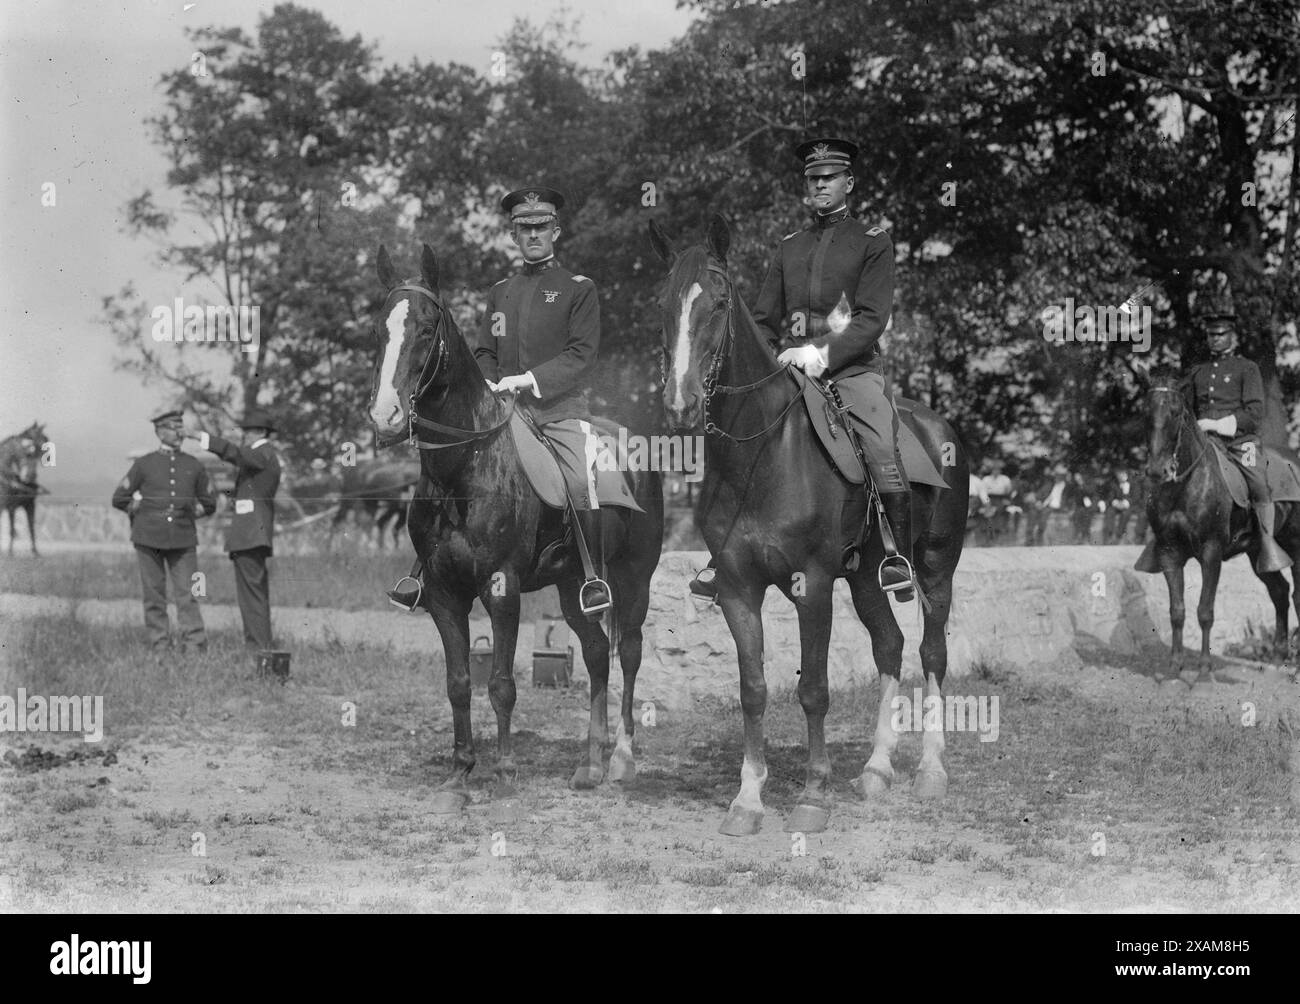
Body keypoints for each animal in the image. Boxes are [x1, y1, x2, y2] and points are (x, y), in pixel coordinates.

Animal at [0, 421, 48, 556]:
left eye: (46, 439)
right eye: (28, 451)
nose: (31, 476)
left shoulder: (28, 505)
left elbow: (31, 527)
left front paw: (35, 552)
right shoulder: (8, 506)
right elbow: (12, 529)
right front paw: (10, 553)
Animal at [369, 247, 665, 811]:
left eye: (426, 328)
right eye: (381, 328)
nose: (386, 417)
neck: (465, 467)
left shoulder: (501, 588)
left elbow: (502, 683)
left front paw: (505, 773)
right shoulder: (444, 595)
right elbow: (459, 682)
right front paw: (460, 772)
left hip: (634, 577)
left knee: (631, 652)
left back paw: (621, 760)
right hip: (573, 586)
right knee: (597, 653)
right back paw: (590, 765)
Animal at [650, 215, 967, 837]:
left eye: (718, 302)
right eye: (664, 303)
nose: (679, 404)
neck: (764, 450)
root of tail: (937, 425)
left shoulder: (812, 585)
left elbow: (814, 689)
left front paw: (814, 796)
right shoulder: (737, 589)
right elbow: (753, 690)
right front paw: (748, 798)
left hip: (935, 570)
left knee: (931, 654)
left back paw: (932, 772)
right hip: (866, 576)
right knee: (890, 646)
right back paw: (875, 769)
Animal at [1133, 371, 1300, 663]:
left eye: (1176, 412)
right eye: (1145, 411)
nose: (1156, 471)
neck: (1186, 485)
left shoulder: (1211, 552)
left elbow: (1204, 611)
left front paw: (1204, 669)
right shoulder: (1169, 552)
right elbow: (1177, 611)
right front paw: (1175, 667)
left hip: (1296, 545)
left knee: (1297, 594)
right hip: (1257, 552)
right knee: (1279, 591)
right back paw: (1279, 653)